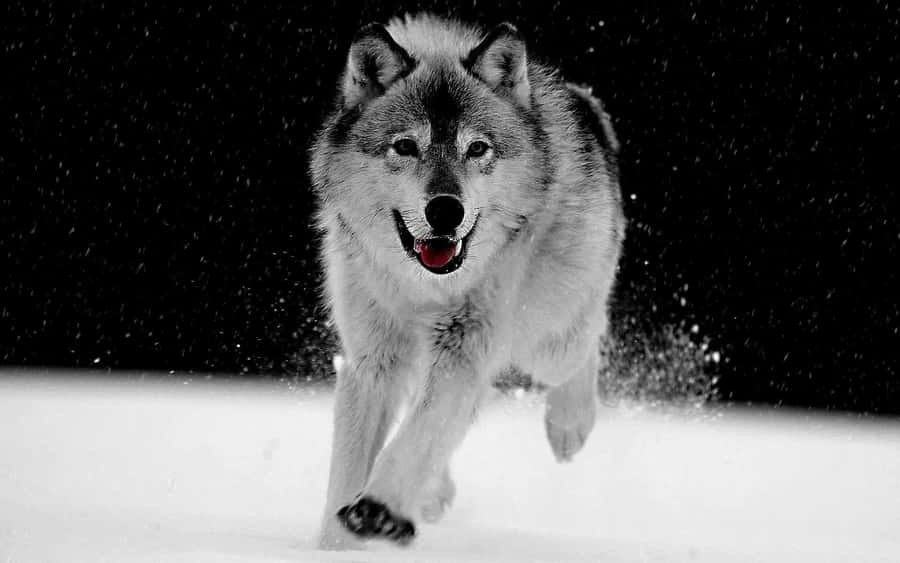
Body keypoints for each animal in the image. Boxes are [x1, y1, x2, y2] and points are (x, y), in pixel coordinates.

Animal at [309, 13, 625, 549]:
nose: (445, 210)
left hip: (546, 339)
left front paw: (378, 509)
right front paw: (338, 545)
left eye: (477, 149)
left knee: (587, 338)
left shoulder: (465, 347)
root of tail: (584, 101)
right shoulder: (372, 360)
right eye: (405, 146)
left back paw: (569, 426)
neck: (423, 288)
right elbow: (351, 468)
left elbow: (418, 435)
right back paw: (433, 495)